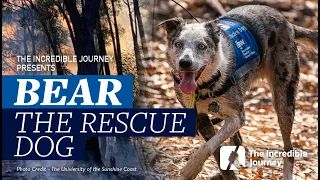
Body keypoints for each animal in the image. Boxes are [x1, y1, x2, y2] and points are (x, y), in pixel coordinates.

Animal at [159, 4, 318, 180]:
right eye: (178, 44)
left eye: (202, 46)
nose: (185, 63)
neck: (206, 84)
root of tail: (286, 22)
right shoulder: (200, 117)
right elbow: (214, 147)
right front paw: (222, 171)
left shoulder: (237, 117)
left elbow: (208, 146)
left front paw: (190, 169)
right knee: (238, 140)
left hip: (284, 103)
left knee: (289, 150)